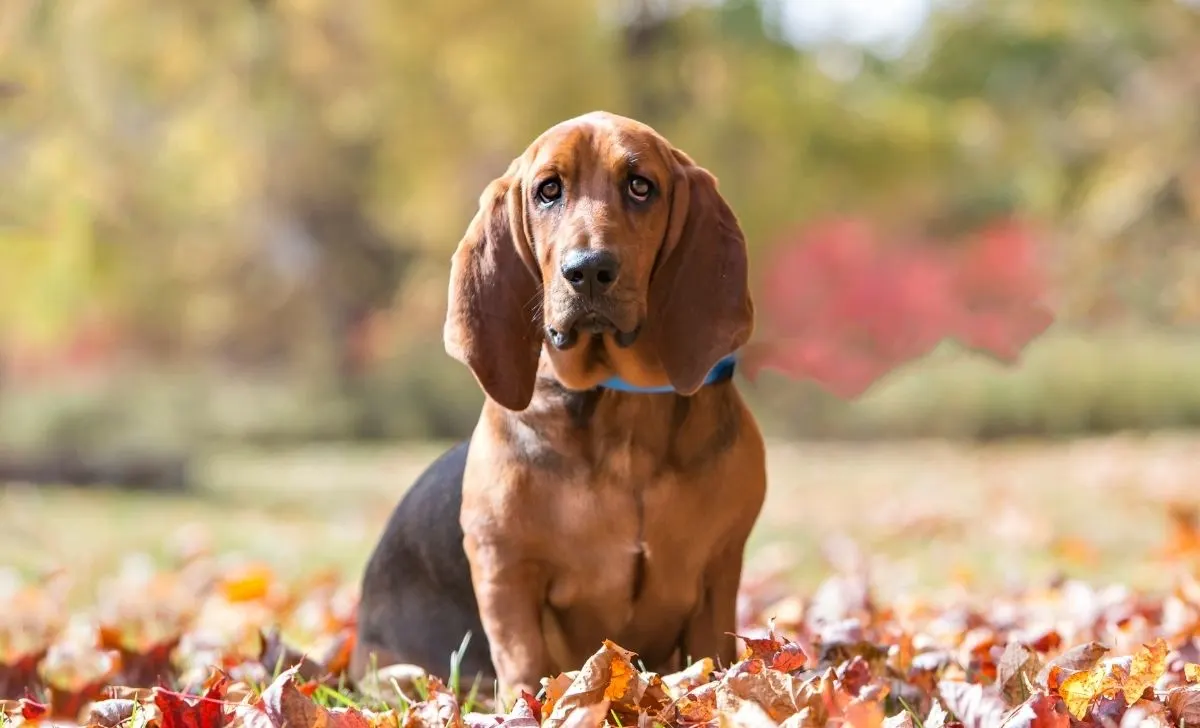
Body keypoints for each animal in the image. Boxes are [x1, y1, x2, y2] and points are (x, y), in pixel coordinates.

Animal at [350, 110, 768, 705]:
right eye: (548, 191)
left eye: (641, 186)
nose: (587, 269)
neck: (621, 402)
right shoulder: (505, 570)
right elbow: (524, 659)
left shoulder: (718, 570)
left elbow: (713, 660)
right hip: (401, 674)